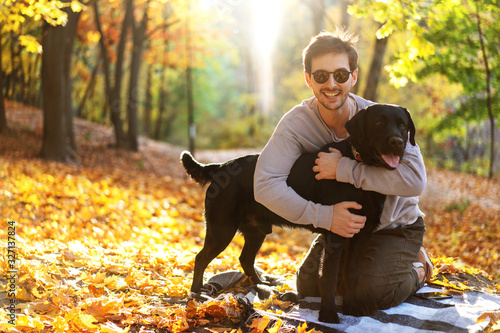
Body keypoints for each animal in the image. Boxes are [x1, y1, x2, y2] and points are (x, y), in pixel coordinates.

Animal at [180, 104, 414, 322]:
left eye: (403, 126)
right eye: (379, 123)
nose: (397, 142)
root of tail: (220, 167)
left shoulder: (361, 237)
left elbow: (353, 275)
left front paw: (353, 308)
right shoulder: (336, 235)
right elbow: (329, 277)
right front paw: (328, 314)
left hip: (257, 231)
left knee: (245, 258)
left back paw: (261, 285)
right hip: (222, 229)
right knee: (201, 258)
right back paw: (197, 293)